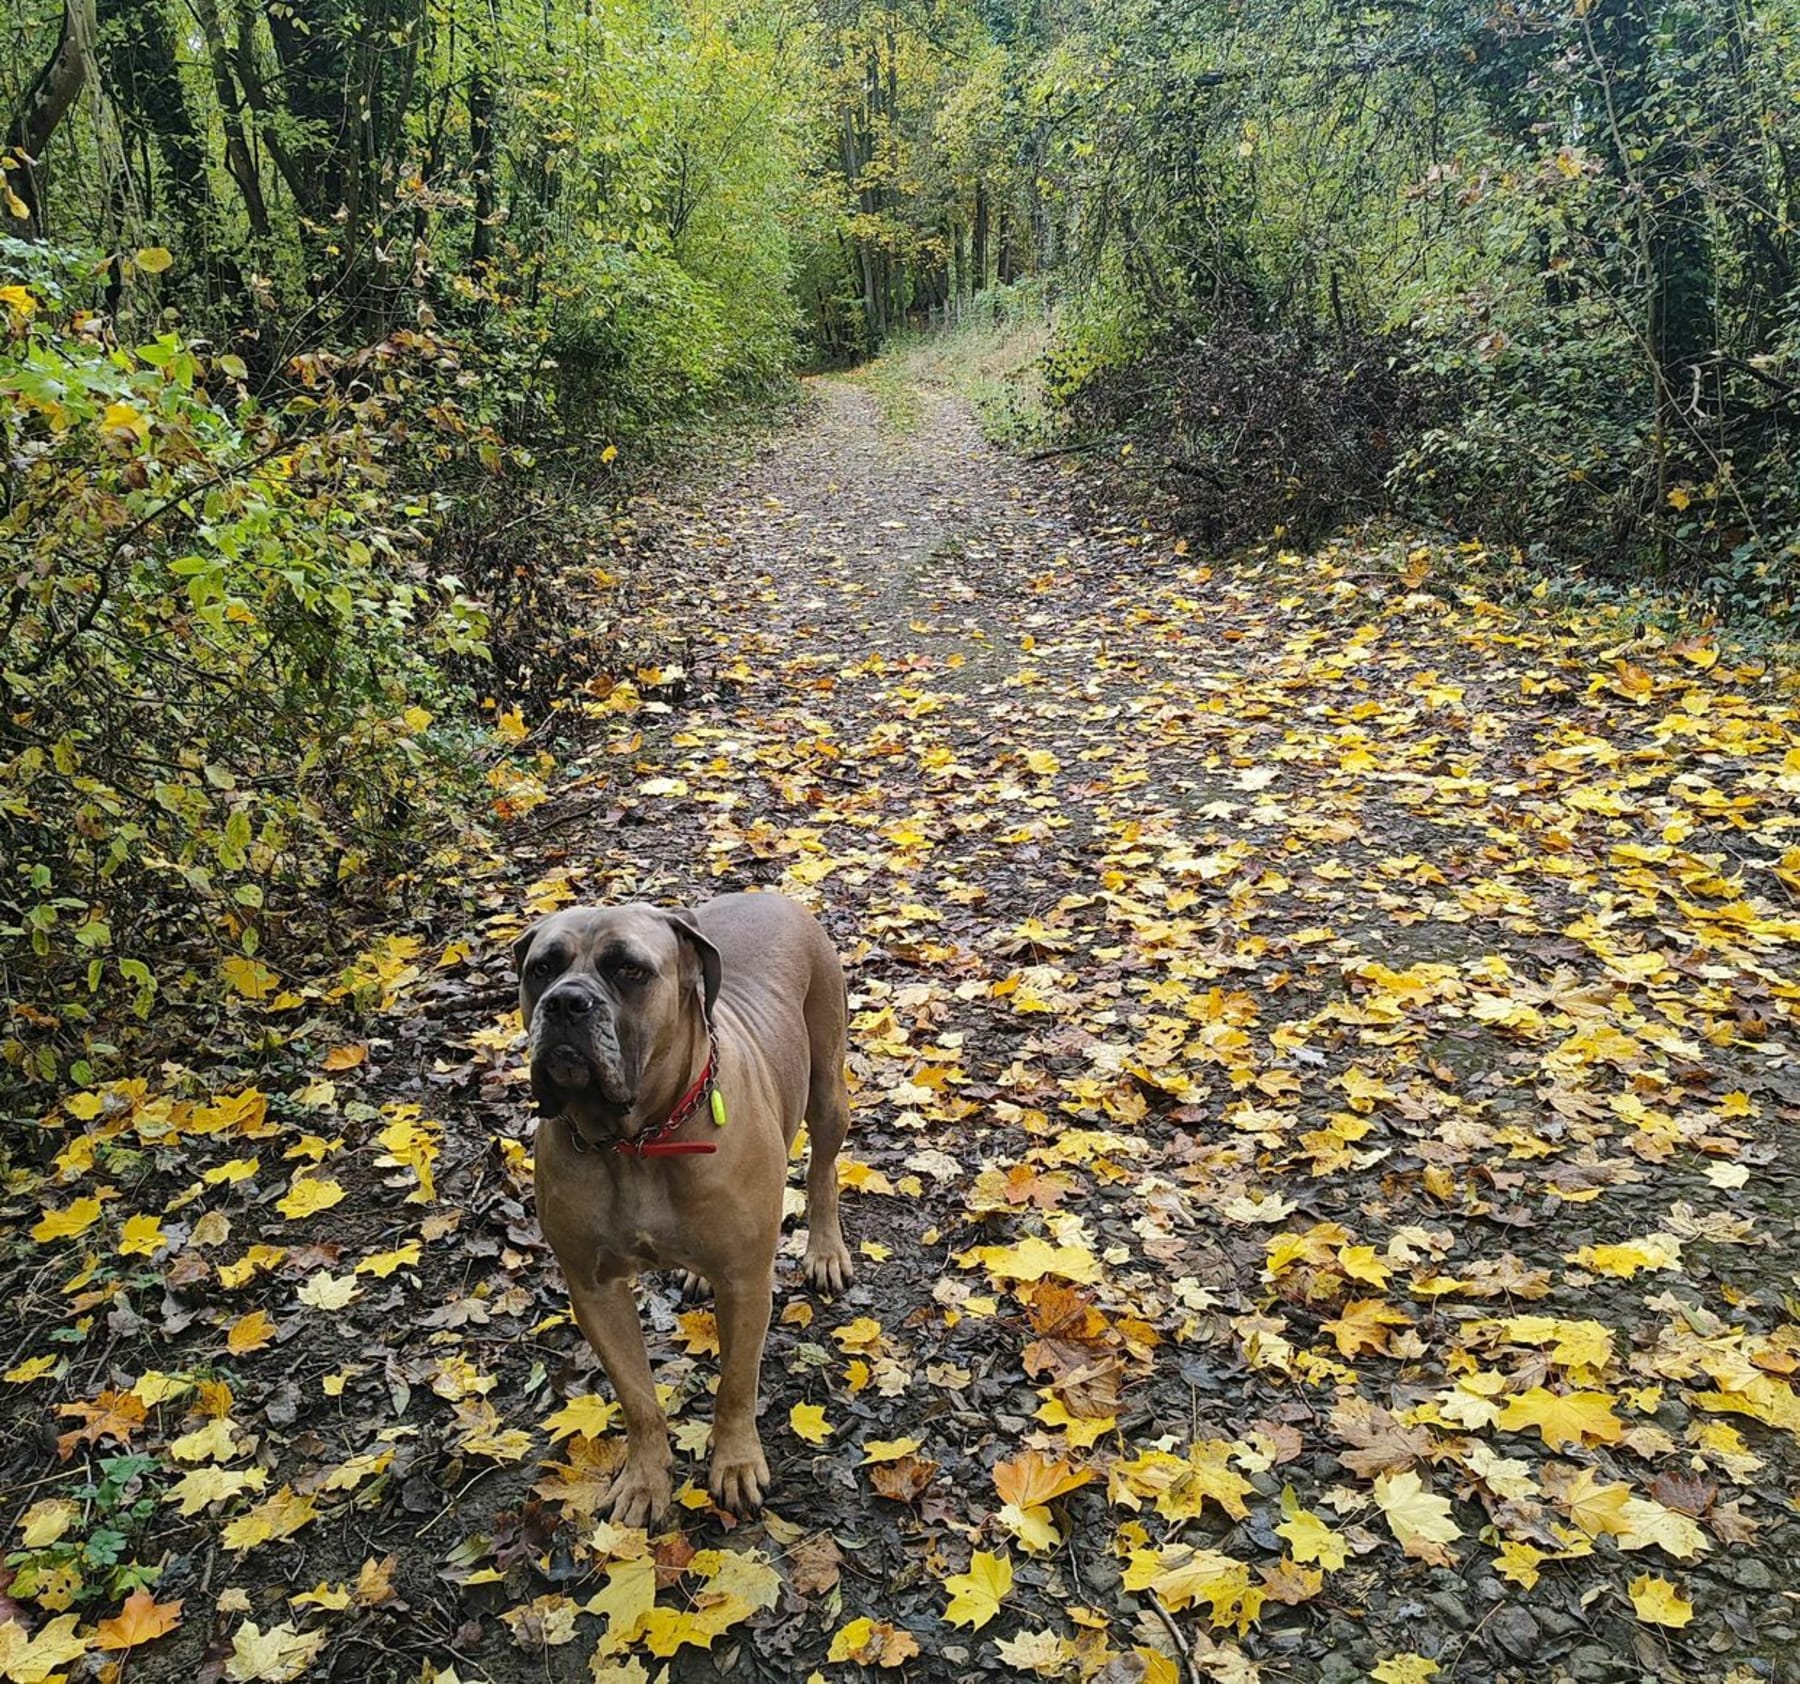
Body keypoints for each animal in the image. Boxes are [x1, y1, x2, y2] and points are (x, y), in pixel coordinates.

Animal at [511, 895, 853, 1525]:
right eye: (541, 969)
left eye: (630, 970)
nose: (566, 1002)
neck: (638, 1142)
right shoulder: (593, 1289)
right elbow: (637, 1397)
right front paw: (645, 1480)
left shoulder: (746, 1282)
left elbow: (736, 1383)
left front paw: (736, 1463)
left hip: (826, 1085)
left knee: (823, 1170)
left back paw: (824, 1250)